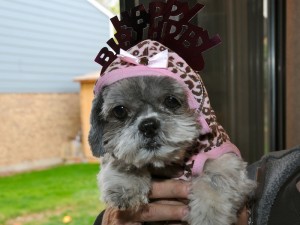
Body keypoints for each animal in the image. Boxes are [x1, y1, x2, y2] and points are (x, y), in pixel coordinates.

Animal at [88, 37, 255, 224]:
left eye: (171, 100)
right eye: (120, 111)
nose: (148, 125)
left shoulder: (225, 159)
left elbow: (215, 182)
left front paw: (208, 217)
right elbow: (121, 159)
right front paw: (125, 184)